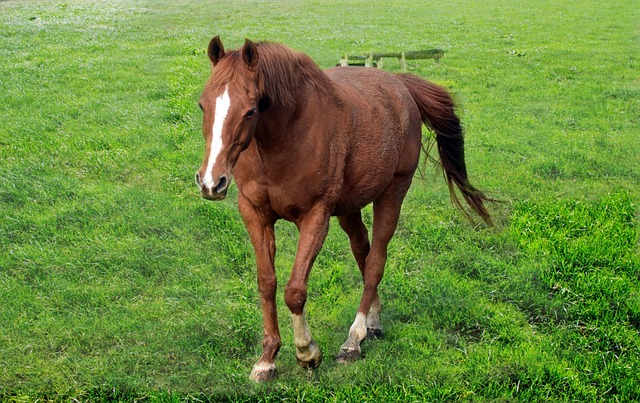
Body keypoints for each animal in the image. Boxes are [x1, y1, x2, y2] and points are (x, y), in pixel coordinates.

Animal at [195, 36, 492, 382]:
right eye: (202, 104)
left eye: (251, 110)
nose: (211, 181)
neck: (287, 135)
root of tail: (399, 85)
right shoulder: (254, 213)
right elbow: (266, 283)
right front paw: (267, 358)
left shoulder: (316, 217)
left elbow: (295, 290)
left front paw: (307, 352)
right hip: (349, 209)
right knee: (362, 251)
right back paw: (372, 321)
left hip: (392, 194)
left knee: (375, 260)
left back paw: (354, 338)